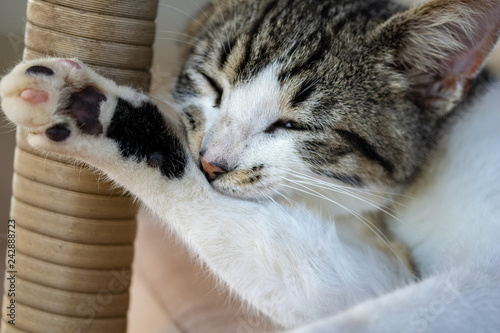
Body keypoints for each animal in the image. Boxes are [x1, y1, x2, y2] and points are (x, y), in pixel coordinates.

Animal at [0, 0, 500, 330]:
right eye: (212, 84)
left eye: (294, 124)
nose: (211, 163)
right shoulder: (379, 268)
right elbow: (325, 283)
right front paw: (85, 107)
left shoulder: (451, 287)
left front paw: (87, 106)